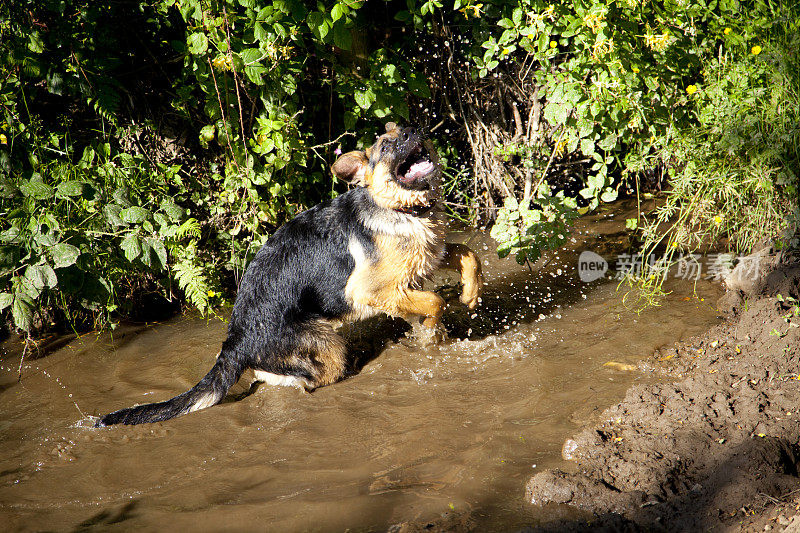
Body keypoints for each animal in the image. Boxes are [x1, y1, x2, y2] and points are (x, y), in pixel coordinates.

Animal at [94, 122, 482, 426]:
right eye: (386, 146)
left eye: (407, 129)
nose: (416, 131)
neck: (400, 208)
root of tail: (236, 340)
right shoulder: (368, 289)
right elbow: (433, 301)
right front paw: (433, 332)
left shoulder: (427, 259)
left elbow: (467, 254)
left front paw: (470, 293)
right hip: (328, 346)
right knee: (302, 379)